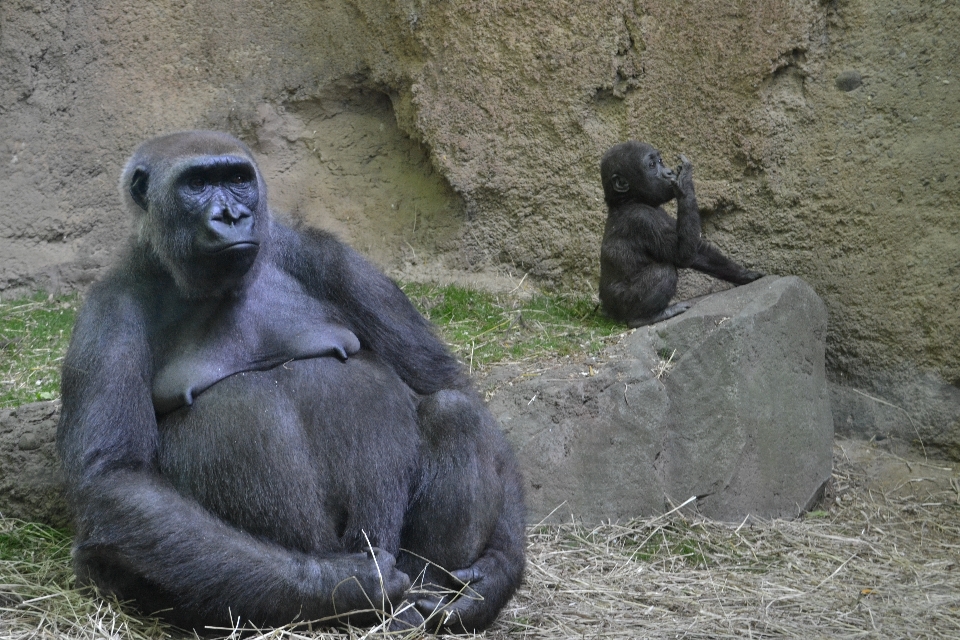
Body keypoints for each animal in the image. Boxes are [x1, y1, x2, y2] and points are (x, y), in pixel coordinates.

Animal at [58, 129, 524, 632]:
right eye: (197, 184)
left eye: (237, 179)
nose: (232, 216)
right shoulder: (108, 313)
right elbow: (116, 479)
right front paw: (343, 584)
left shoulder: (329, 257)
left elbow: (439, 379)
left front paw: (496, 575)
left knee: (454, 410)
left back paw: (426, 593)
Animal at [596, 140, 760, 324]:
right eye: (652, 165)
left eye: (660, 161)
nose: (668, 172)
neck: (628, 200)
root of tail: (607, 311)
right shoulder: (642, 219)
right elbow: (682, 255)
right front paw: (684, 183)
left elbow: (697, 252)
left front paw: (745, 275)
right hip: (621, 305)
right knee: (663, 272)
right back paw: (644, 318)